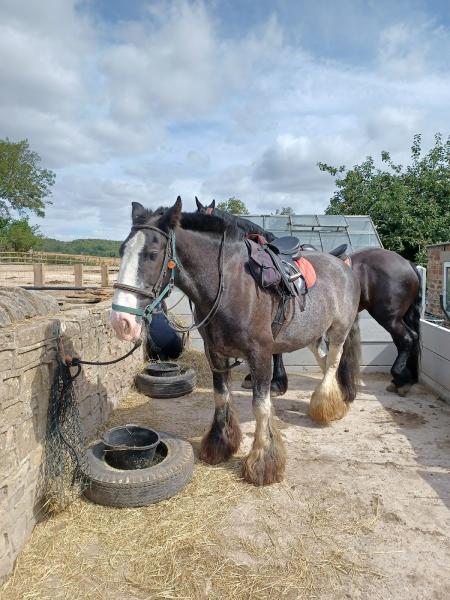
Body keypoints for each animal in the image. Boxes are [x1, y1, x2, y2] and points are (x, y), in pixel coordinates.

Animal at [110, 199, 360, 486]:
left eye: (152, 253)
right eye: (122, 251)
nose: (120, 321)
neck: (230, 283)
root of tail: (343, 265)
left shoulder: (261, 354)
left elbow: (261, 407)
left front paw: (263, 464)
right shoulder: (215, 352)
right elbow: (221, 396)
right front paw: (220, 445)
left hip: (339, 330)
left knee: (333, 363)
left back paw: (327, 406)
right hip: (313, 334)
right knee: (324, 360)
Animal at [196, 197, 422, 396]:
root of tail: (407, 263)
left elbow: (275, 351)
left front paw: (276, 383)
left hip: (388, 316)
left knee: (407, 339)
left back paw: (400, 379)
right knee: (408, 339)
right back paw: (404, 380)